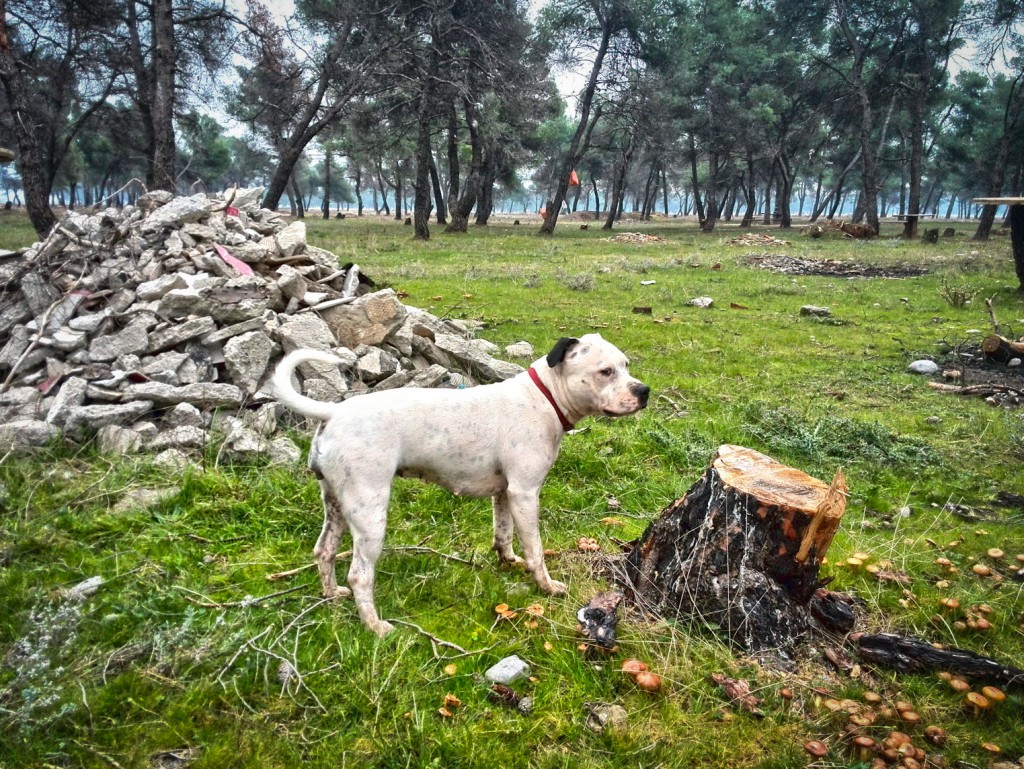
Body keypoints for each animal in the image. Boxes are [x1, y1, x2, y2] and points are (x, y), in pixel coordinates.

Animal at [274, 333, 647, 634]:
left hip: (335, 504)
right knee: (359, 575)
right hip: (369, 513)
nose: (644, 391)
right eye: (606, 371)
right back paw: (375, 627)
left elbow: (503, 533)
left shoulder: (505, 493)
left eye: (626, 365)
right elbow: (536, 549)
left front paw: (508, 561)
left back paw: (331, 594)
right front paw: (546, 585)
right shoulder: (525, 493)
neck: (544, 397)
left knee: (324, 551)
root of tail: (332, 412)